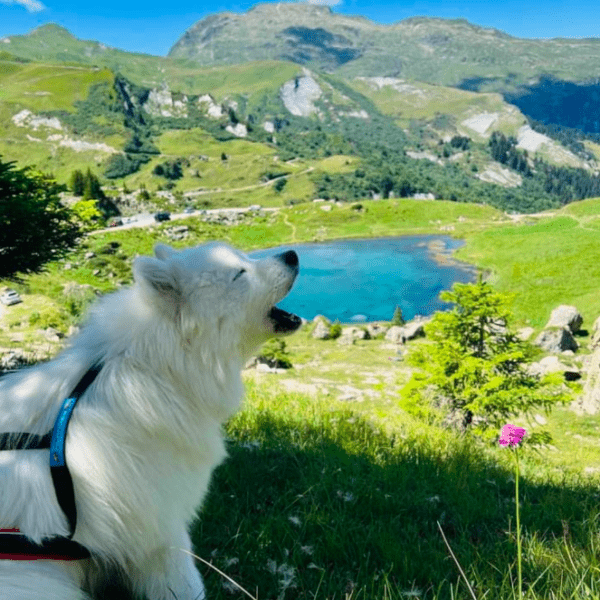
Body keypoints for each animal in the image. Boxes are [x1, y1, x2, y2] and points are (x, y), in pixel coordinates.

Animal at [0, 243, 300, 600]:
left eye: (245, 257)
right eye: (239, 273)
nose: (292, 255)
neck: (155, 367)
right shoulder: (162, 529)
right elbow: (185, 583)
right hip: (39, 580)